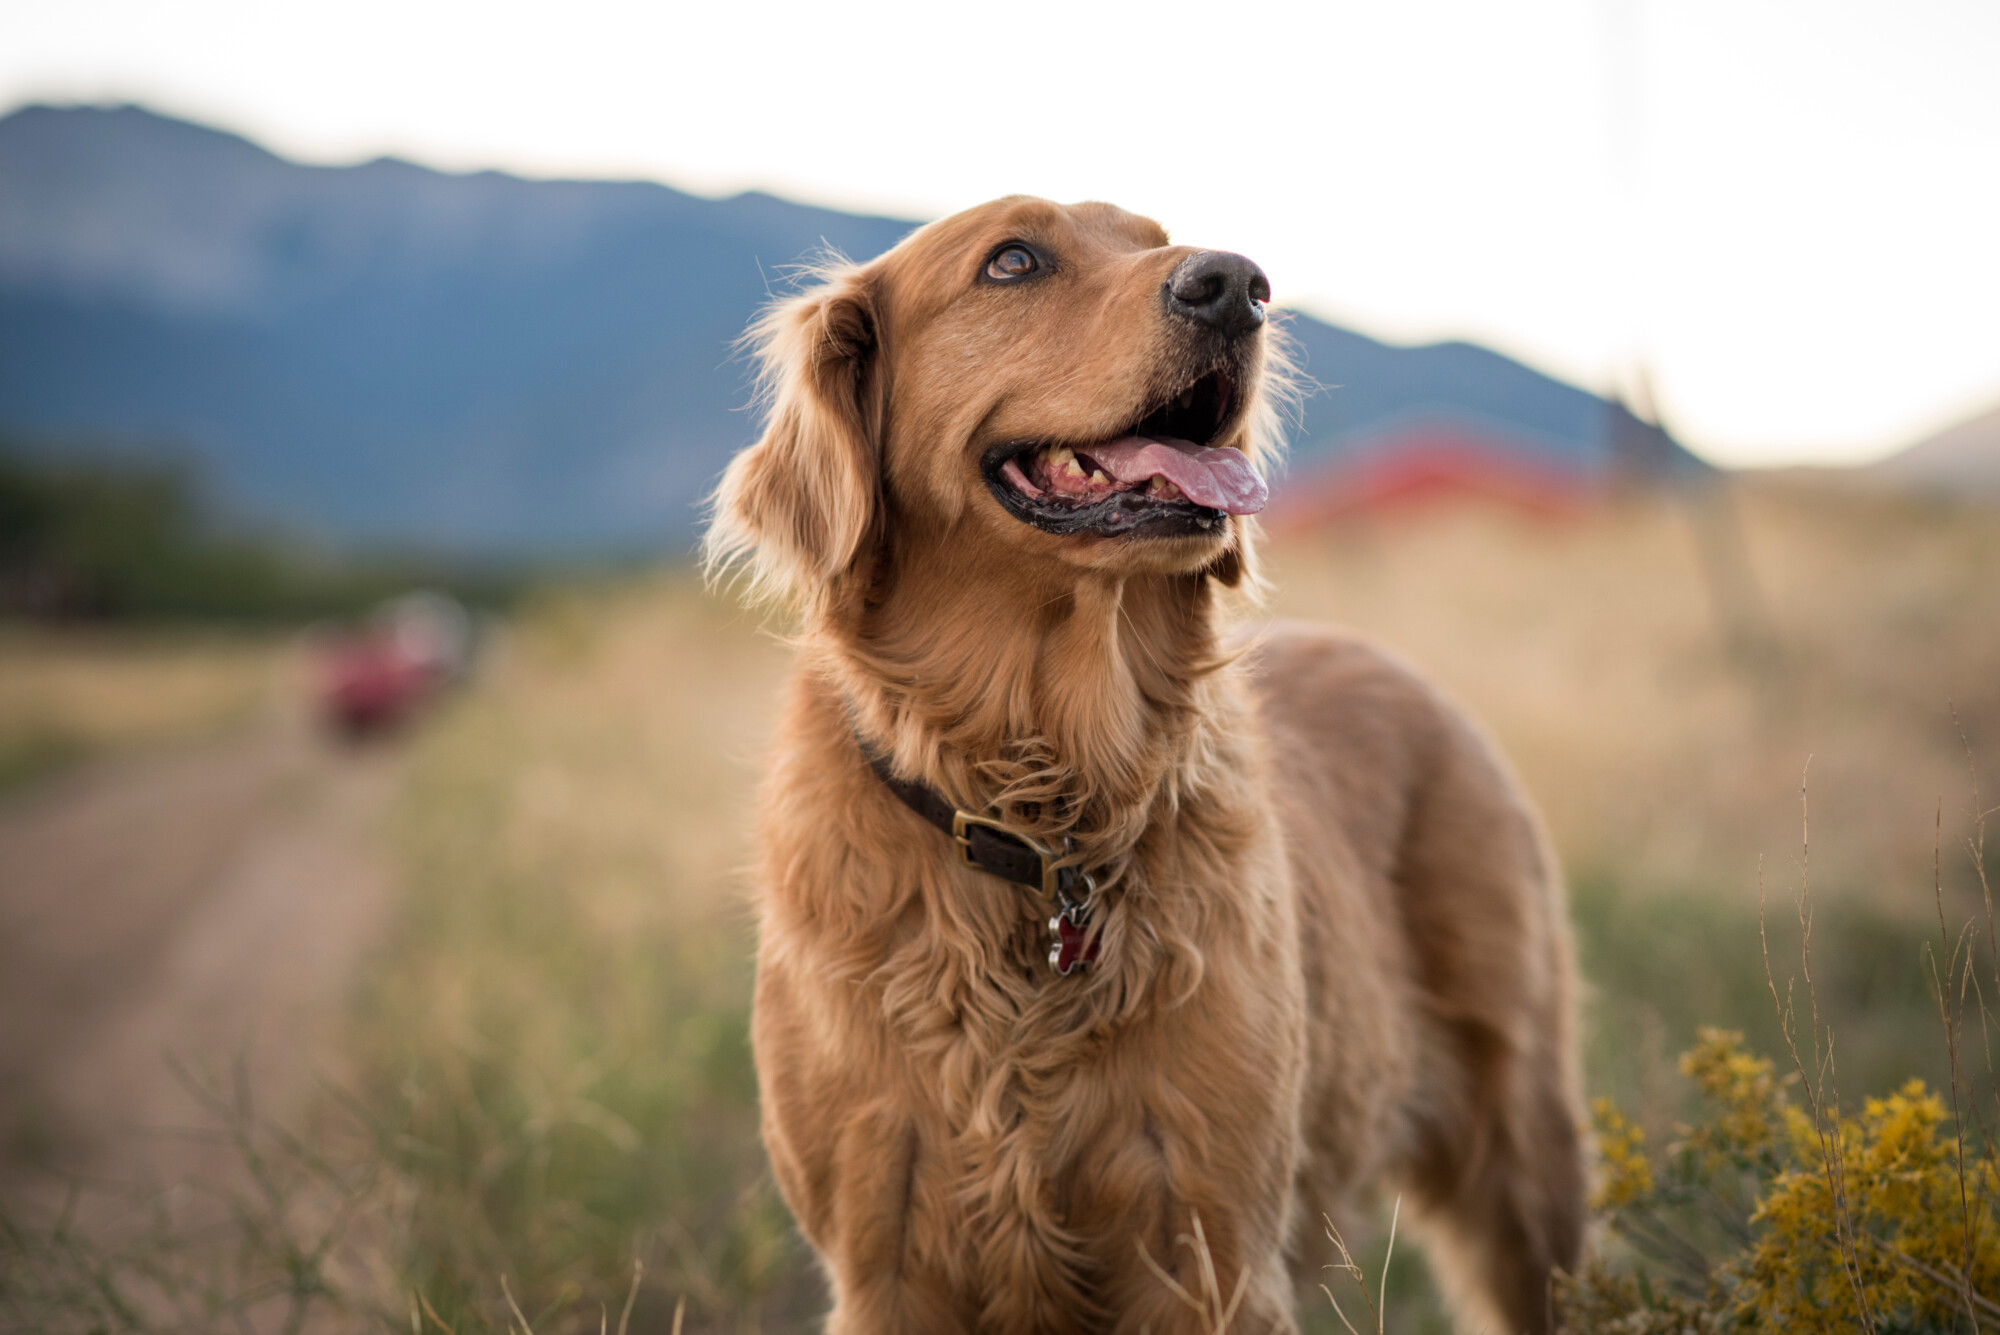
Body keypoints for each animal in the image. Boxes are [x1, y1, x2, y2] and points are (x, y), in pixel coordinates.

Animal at [712, 192, 1584, 1327]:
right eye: (1011, 261)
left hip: (1522, 1151)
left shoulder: (1211, 1244)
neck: (1041, 810)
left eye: (1154, 238)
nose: (1237, 285)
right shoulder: (883, 1257)